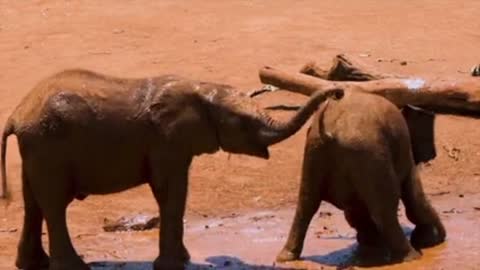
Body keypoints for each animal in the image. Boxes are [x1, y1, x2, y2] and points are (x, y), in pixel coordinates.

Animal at [0, 68, 344, 270]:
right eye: (243, 122)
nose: (338, 92)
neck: (202, 88)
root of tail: (16, 114)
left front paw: (182, 261)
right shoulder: (165, 141)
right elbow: (170, 190)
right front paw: (174, 265)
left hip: (39, 148)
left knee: (34, 204)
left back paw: (32, 264)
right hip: (48, 145)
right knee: (54, 204)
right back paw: (75, 267)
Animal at [270, 90, 446, 266]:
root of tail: (330, 128)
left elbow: (355, 211)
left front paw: (372, 242)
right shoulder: (403, 153)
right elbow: (415, 200)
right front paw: (431, 240)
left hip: (315, 150)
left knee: (306, 205)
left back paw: (286, 257)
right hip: (366, 151)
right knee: (385, 209)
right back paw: (412, 257)